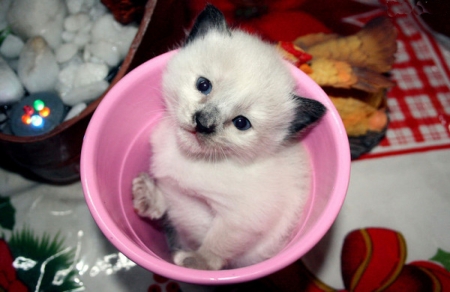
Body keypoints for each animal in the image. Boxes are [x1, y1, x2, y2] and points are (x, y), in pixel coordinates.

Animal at [132, 4, 326, 270]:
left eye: (241, 123)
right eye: (203, 85)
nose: (203, 124)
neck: (191, 158)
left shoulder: (242, 217)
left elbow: (216, 246)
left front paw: (195, 265)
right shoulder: (173, 188)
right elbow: (167, 202)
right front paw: (148, 196)